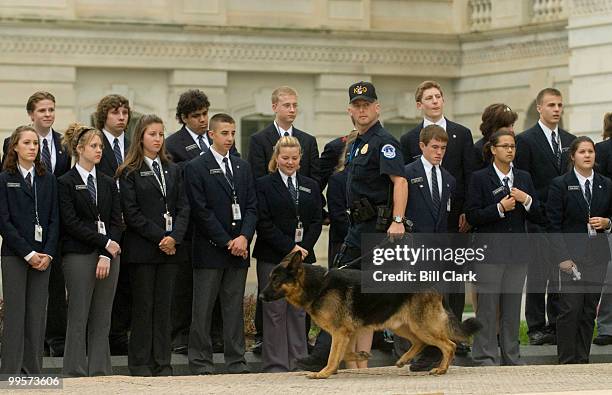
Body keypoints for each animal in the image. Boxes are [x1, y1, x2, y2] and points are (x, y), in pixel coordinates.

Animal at [260, 252, 480, 378]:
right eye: (270, 278)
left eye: (275, 280)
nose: (260, 296)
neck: (318, 286)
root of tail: (433, 284)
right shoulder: (347, 333)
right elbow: (342, 353)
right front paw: (359, 355)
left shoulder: (340, 333)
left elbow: (332, 355)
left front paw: (324, 373)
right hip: (401, 325)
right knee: (420, 342)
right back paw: (404, 360)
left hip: (421, 326)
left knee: (449, 345)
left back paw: (441, 369)